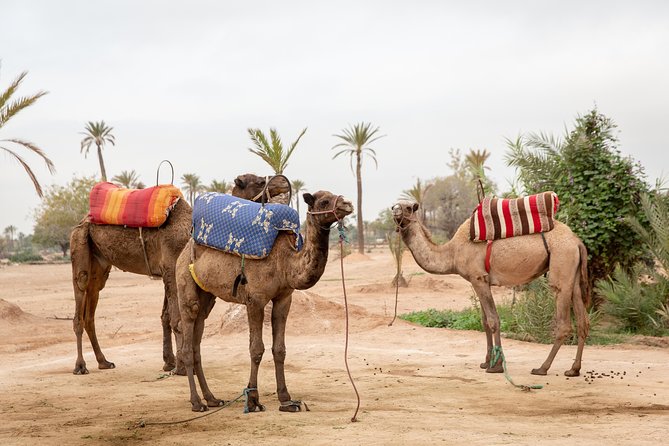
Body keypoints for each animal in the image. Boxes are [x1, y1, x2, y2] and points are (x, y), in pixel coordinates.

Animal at [69, 173, 289, 375]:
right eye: (260, 181)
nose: (283, 182)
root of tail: (83, 219)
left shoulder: (171, 272)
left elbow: (167, 316)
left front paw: (170, 362)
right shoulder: (171, 267)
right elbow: (177, 319)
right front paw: (182, 367)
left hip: (100, 265)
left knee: (91, 309)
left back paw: (103, 361)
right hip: (79, 244)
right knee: (80, 300)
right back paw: (80, 366)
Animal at [175, 190, 353, 412]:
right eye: (324, 201)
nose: (347, 204)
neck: (285, 262)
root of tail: (185, 248)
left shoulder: (284, 299)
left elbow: (279, 349)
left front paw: (286, 400)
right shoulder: (255, 300)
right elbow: (256, 349)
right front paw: (252, 400)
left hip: (206, 293)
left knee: (198, 335)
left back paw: (212, 399)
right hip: (184, 281)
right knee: (188, 332)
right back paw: (197, 402)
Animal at [391, 200, 590, 377]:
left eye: (408, 208)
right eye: (395, 205)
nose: (395, 210)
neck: (452, 253)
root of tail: (577, 241)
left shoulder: (478, 278)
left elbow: (493, 320)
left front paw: (497, 366)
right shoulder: (479, 280)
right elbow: (485, 321)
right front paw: (486, 362)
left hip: (561, 264)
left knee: (564, 323)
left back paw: (542, 368)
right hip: (573, 275)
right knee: (583, 322)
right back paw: (574, 369)